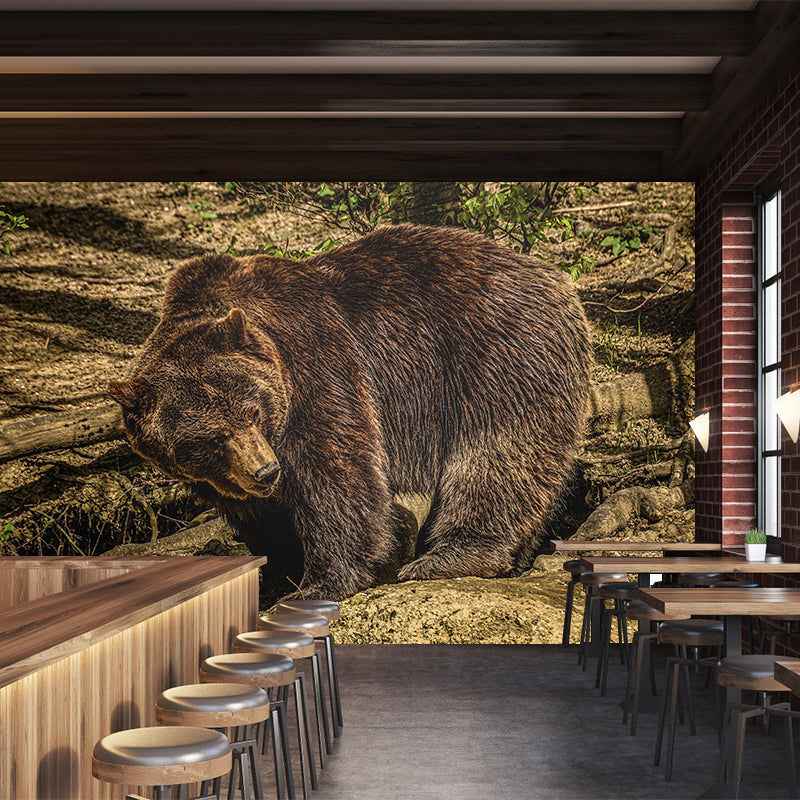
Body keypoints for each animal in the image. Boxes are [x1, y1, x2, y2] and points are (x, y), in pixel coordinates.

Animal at [108, 224, 592, 601]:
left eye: (253, 411)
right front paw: (275, 574)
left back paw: (448, 557)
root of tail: (555, 279)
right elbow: (262, 518)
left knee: (497, 453)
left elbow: (337, 473)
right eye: (209, 438)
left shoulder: (316, 364)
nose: (265, 471)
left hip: (498, 354)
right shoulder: (221, 477)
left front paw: (320, 583)